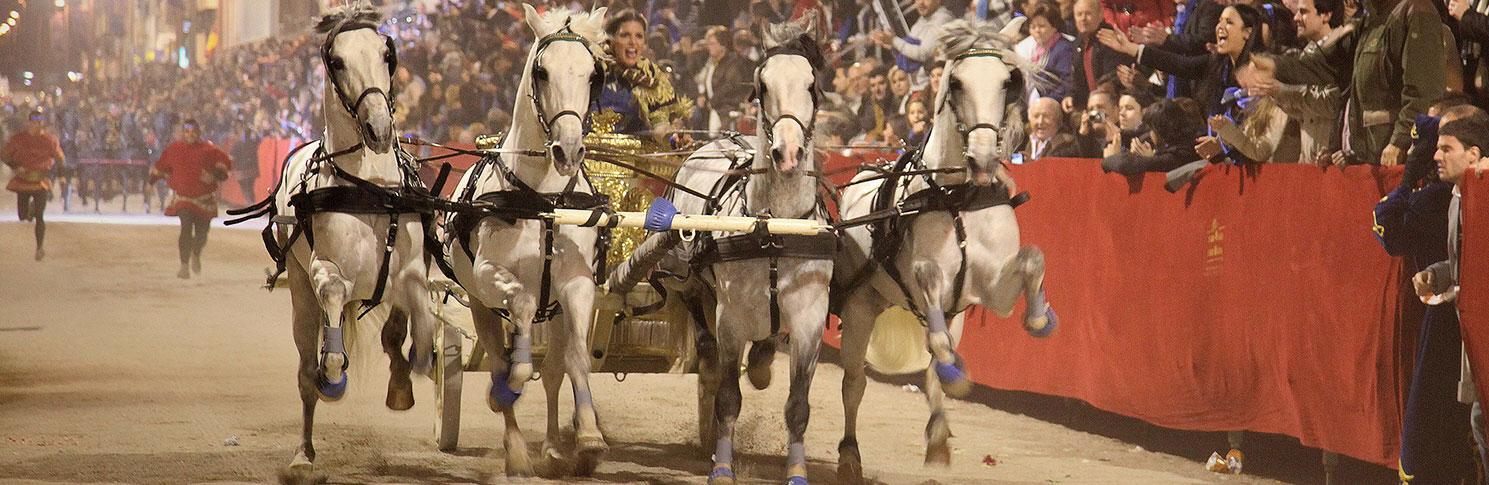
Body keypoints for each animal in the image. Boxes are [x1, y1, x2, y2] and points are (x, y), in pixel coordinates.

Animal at [241, 3, 437, 479]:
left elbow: (419, 321)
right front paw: (334, 376)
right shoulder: (325, 272)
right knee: (305, 370)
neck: (370, 188)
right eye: (337, 61)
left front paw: (412, 368)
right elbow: (330, 311)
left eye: (387, 54)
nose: (379, 127)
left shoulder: (409, 270)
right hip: (299, 294)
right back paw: (304, 452)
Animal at [440, 4, 610, 476]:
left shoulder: (578, 284)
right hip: (478, 303)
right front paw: (512, 382)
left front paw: (589, 436)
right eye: (542, 71)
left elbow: (575, 360)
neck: (545, 200)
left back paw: (552, 446)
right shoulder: (488, 274)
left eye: (594, 73)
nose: (568, 150)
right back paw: (516, 448)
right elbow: (521, 306)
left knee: (552, 371)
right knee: (499, 361)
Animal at [827, 18, 1060, 482]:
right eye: (956, 82)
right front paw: (956, 372)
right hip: (861, 306)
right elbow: (929, 284)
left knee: (935, 366)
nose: (984, 157)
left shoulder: (991, 292)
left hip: (956, 316)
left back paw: (937, 432)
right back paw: (849, 455)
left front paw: (1041, 318)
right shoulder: (926, 278)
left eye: (1008, 81)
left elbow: (1032, 259)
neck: (957, 198)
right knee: (855, 382)